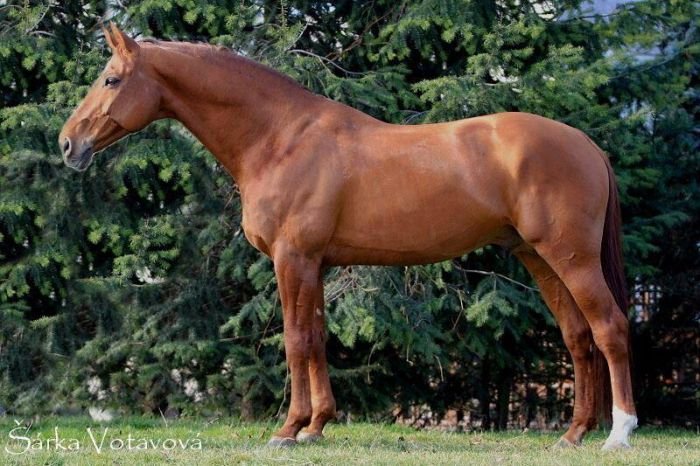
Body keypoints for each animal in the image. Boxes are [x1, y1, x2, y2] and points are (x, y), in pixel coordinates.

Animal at [59, 23, 637, 450]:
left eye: (111, 80)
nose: (68, 145)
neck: (279, 138)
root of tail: (586, 143)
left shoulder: (292, 259)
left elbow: (295, 340)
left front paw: (288, 429)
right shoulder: (315, 263)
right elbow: (316, 339)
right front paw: (316, 426)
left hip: (572, 258)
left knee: (609, 328)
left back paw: (619, 433)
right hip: (538, 257)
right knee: (577, 336)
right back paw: (573, 434)